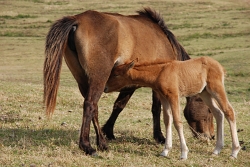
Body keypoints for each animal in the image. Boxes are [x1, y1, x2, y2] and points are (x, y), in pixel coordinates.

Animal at [104, 56, 240, 159]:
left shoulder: (174, 96)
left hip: (216, 88)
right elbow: (167, 120)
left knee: (229, 111)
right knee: (218, 113)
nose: (105, 88)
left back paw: (234, 152)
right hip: (205, 93)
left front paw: (184, 153)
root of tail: (220, 67)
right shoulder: (164, 98)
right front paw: (165, 151)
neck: (160, 72)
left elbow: (177, 122)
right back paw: (217, 149)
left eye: (116, 75)